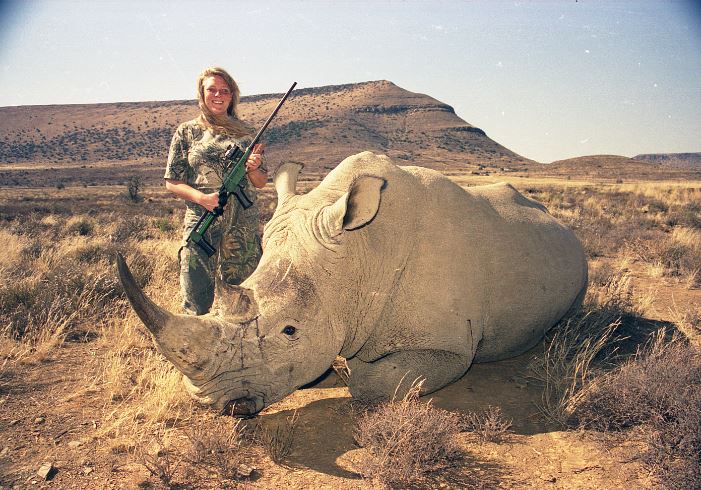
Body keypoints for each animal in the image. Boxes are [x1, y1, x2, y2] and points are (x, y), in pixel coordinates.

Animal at [117, 151, 587, 416]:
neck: (360, 254)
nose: (213, 405)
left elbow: (369, 381)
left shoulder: (450, 347)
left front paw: (355, 370)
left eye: (290, 331)